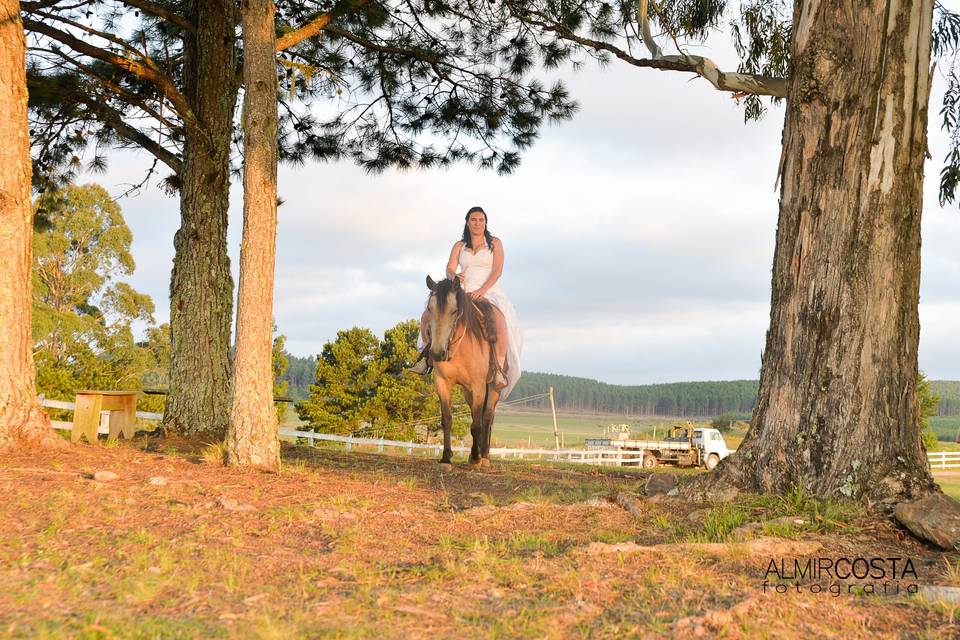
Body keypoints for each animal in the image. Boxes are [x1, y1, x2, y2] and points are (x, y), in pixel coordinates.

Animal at [424, 276, 506, 470]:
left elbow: (476, 425)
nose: (437, 353)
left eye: (454, 311)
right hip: (468, 392)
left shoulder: (478, 386)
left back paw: (484, 458)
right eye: (430, 309)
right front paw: (446, 458)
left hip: (493, 388)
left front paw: (476, 458)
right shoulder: (442, 383)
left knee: (487, 418)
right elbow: (447, 419)